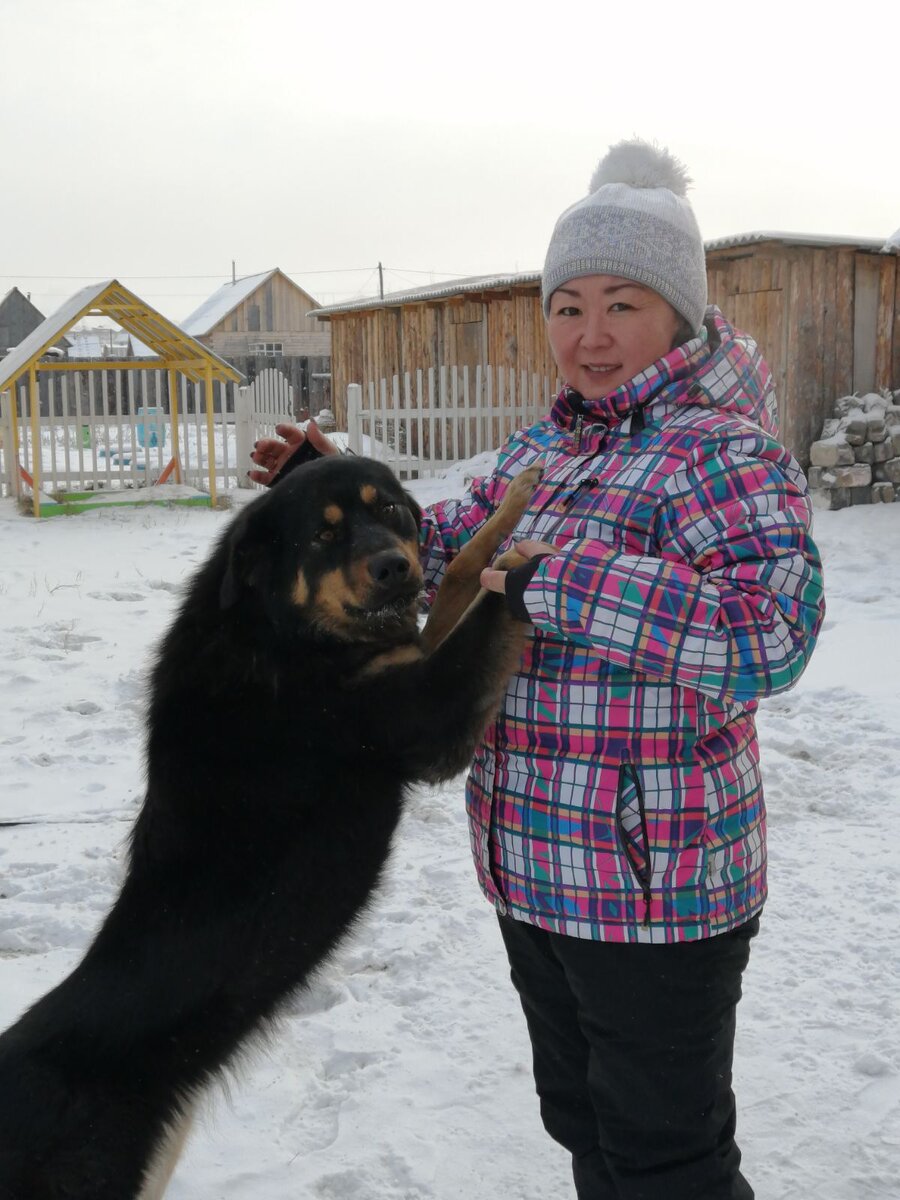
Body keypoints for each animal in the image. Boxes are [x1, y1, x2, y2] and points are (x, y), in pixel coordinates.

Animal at [0, 453, 540, 1195]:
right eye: (323, 535)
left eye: (390, 510)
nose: (394, 566)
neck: (272, 626)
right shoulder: (429, 714)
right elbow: (483, 607)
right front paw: (526, 557)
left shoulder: (410, 658)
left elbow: (459, 570)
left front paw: (517, 499)